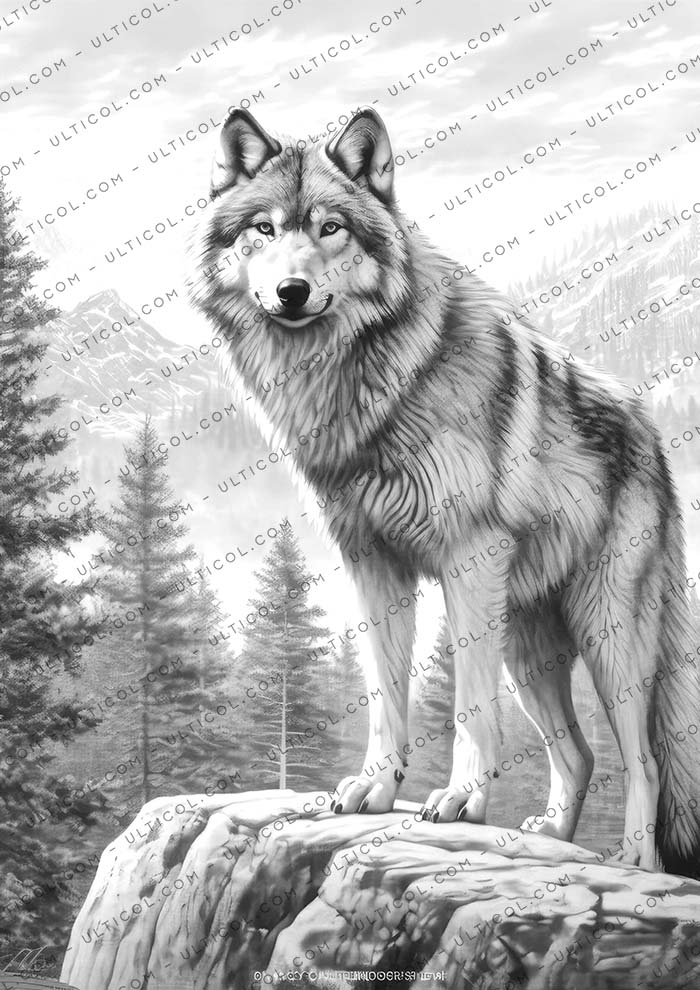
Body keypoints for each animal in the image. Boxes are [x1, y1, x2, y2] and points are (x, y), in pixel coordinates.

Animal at [190, 105, 700, 877]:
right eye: (265, 229)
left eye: (331, 227)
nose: (292, 292)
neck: (364, 380)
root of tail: (652, 432)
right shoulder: (370, 563)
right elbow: (383, 694)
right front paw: (375, 788)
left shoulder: (470, 559)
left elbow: (468, 707)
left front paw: (462, 801)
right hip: (529, 649)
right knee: (580, 754)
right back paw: (551, 836)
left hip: (608, 631)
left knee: (643, 761)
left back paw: (635, 862)